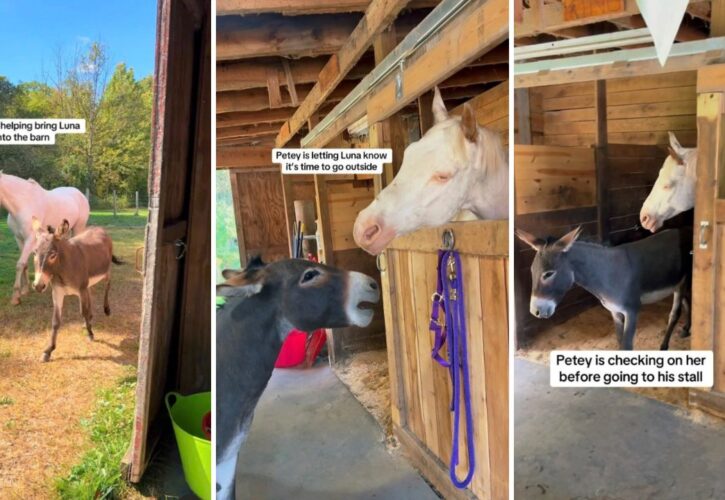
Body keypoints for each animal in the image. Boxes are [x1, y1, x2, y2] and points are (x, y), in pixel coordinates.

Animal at [0, 172, 90, 304]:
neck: (23, 203)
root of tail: (80, 194)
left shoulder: (30, 239)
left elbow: (20, 264)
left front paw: (15, 297)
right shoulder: (19, 239)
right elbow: (25, 264)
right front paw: (25, 290)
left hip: (78, 227)